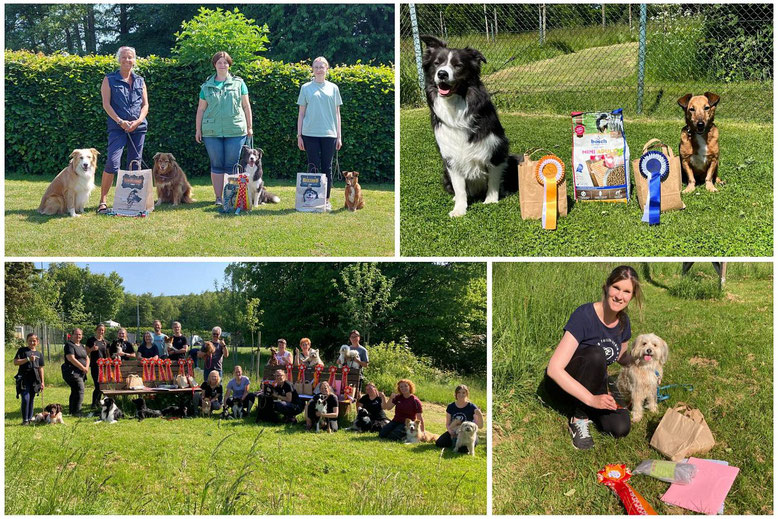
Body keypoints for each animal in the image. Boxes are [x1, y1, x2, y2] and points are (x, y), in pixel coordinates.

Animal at [418, 35, 516, 217]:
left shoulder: (495, 149)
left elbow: (493, 179)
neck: (456, 106)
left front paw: (491, 201)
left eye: (458, 65)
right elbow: (459, 188)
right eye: (437, 63)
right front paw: (459, 209)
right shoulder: (451, 158)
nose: (442, 74)